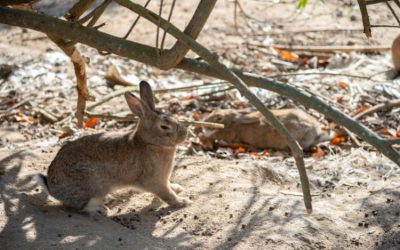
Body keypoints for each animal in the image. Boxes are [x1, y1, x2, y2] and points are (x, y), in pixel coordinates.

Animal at [36, 81, 191, 215]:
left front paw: (179, 188)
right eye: (164, 127)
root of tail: (53, 188)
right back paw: (102, 209)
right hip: (94, 186)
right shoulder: (155, 181)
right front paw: (182, 201)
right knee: (83, 206)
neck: (149, 143)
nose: (184, 134)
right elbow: (167, 194)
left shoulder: (163, 180)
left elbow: (169, 187)